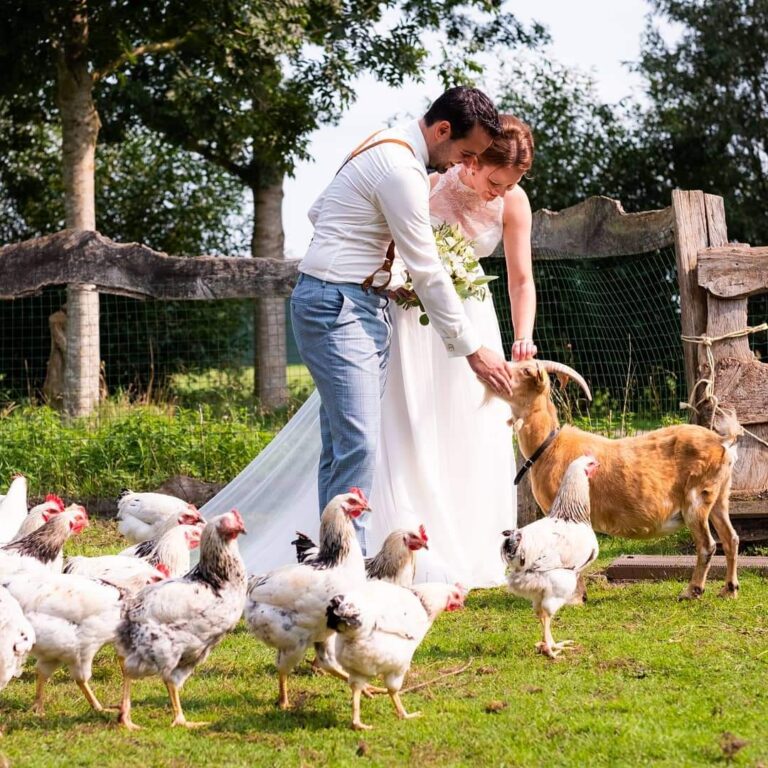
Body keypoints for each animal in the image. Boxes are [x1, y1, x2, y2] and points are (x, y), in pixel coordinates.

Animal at [488, 360, 740, 600]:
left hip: (697, 497)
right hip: (719, 496)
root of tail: (722, 442)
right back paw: (729, 589)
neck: (549, 446)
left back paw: (692, 591)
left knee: (707, 545)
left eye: (525, 370)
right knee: (731, 538)